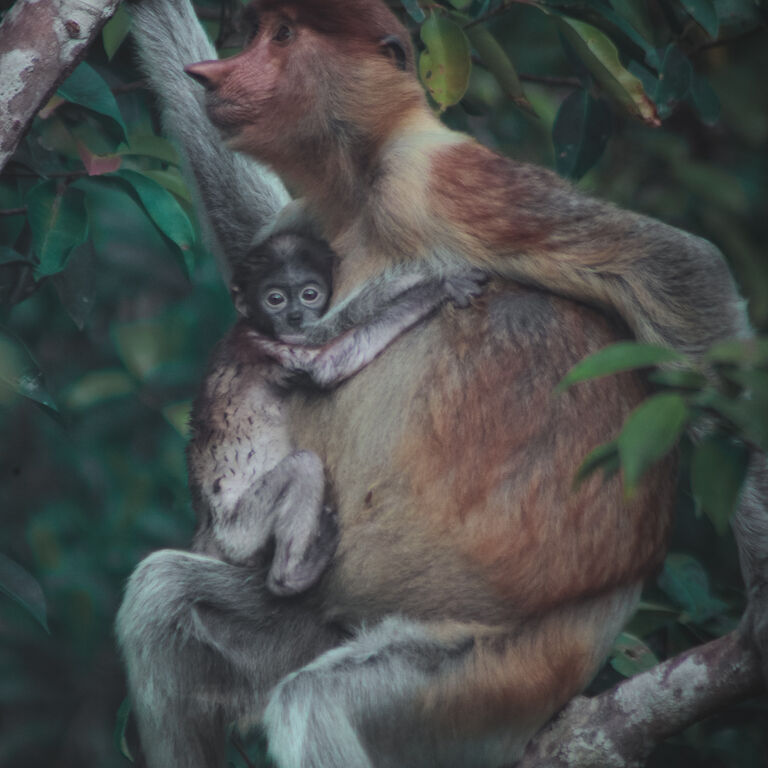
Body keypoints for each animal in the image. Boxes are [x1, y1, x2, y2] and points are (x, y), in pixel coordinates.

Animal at [188, 229, 487, 596]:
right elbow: (328, 363)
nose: (295, 317)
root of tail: (207, 529)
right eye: (275, 299)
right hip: (240, 532)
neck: (252, 327)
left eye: (309, 294)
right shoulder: (265, 346)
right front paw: (437, 286)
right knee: (303, 466)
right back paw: (290, 576)